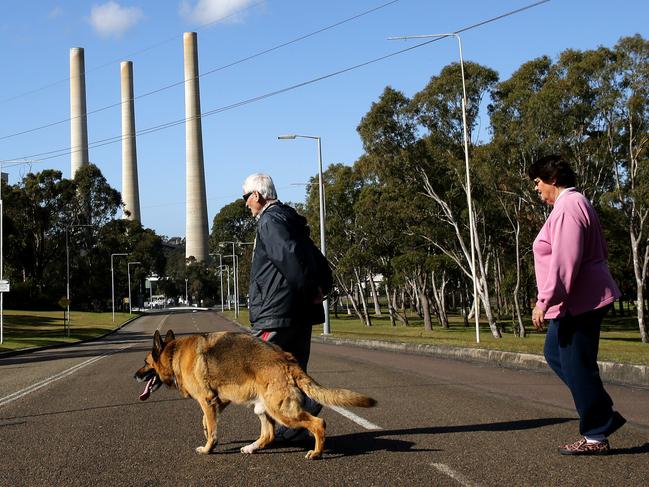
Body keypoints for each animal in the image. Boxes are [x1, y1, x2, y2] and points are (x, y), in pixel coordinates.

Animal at [134, 330, 378, 460]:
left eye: (145, 362)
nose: (134, 375)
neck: (174, 353)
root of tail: (287, 361)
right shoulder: (219, 400)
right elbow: (207, 421)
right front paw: (206, 431)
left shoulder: (207, 400)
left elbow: (211, 429)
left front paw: (208, 447)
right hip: (263, 408)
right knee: (268, 435)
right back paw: (251, 447)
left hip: (281, 411)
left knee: (319, 423)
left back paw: (316, 452)